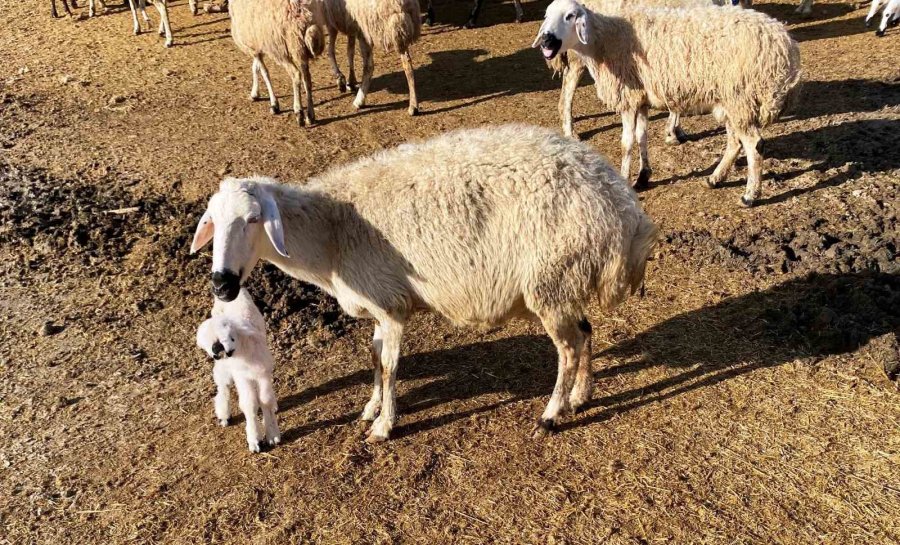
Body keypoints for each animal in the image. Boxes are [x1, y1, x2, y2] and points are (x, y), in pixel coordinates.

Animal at [195, 286, 280, 452]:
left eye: (231, 336)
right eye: (210, 343)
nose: (217, 348)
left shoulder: (263, 372)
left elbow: (265, 400)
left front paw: (272, 435)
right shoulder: (241, 376)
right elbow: (249, 403)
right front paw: (255, 441)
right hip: (224, 367)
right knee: (223, 384)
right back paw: (224, 415)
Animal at [536, 0, 800, 206]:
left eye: (570, 16)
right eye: (546, 15)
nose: (547, 40)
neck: (605, 39)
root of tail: (787, 47)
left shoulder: (629, 97)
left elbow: (626, 143)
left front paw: (625, 178)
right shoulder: (641, 96)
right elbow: (642, 136)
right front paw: (643, 176)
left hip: (741, 97)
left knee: (754, 145)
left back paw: (750, 195)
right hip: (732, 100)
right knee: (736, 142)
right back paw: (715, 178)